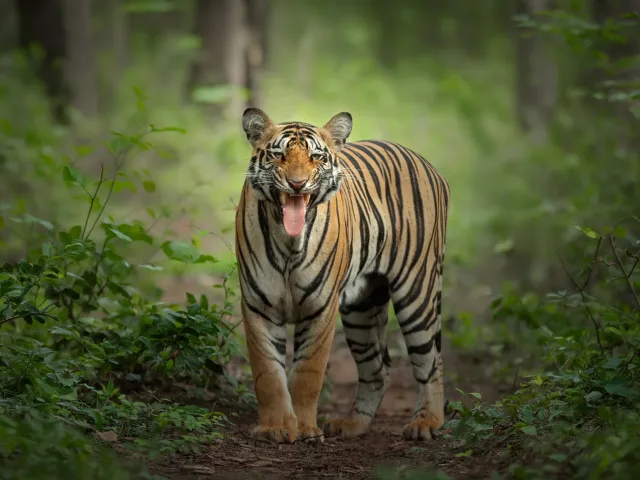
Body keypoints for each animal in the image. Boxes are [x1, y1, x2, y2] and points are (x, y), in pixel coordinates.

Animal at [235, 108, 450, 444]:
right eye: (279, 155)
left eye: (315, 157)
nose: (297, 184)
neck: (289, 242)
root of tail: (425, 162)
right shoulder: (259, 306)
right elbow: (268, 374)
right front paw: (275, 428)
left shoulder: (321, 307)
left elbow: (308, 374)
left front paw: (305, 429)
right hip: (361, 307)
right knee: (377, 368)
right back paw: (353, 424)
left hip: (418, 292)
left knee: (431, 362)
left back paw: (426, 423)